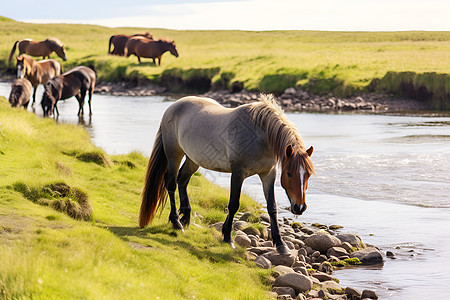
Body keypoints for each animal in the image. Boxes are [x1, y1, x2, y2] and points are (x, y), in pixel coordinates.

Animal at [139, 94, 314, 253]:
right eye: (289, 174)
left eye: (308, 175)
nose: (299, 207)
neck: (259, 135)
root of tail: (173, 106)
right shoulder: (238, 173)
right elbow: (233, 204)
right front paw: (228, 238)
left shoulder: (268, 174)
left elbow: (272, 207)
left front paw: (281, 245)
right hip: (174, 153)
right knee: (171, 183)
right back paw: (177, 222)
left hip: (192, 159)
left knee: (182, 180)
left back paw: (186, 217)